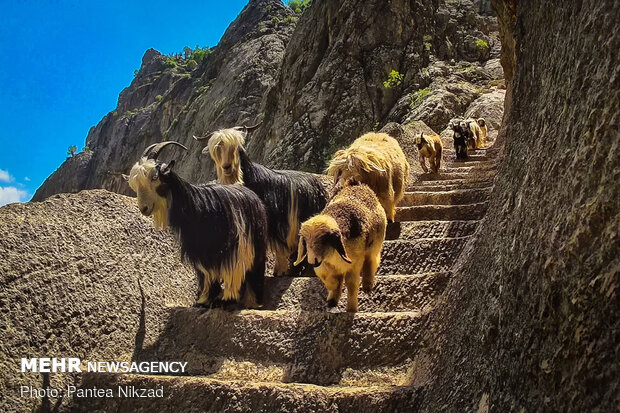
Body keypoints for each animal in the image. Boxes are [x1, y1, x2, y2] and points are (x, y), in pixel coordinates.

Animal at [123, 141, 266, 306]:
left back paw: (251, 299)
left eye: (154, 177)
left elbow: (232, 271)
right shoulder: (200, 251)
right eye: (135, 185)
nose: (144, 208)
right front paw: (204, 300)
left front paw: (226, 300)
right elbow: (206, 274)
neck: (197, 206)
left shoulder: (232, 248)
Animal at [296, 179, 388, 310]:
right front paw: (333, 297)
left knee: (372, 260)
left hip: (375, 244)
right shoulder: (324, 266)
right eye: (305, 240)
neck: (333, 256)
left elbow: (351, 284)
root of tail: (356, 184)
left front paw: (351, 308)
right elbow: (328, 278)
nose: (312, 261)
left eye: (325, 239)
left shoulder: (354, 263)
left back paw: (367, 285)